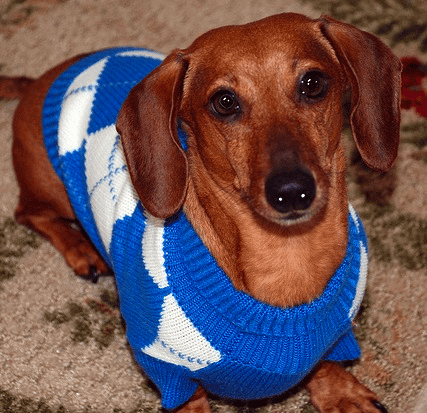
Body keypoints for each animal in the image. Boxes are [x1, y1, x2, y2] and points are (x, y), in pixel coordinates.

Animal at [0, 11, 402, 410]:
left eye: (313, 83)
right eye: (224, 102)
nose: (292, 192)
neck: (289, 259)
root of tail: (44, 79)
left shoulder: (335, 334)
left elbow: (325, 363)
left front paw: (340, 393)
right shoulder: (166, 366)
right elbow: (191, 397)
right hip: (52, 190)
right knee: (28, 213)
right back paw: (79, 249)